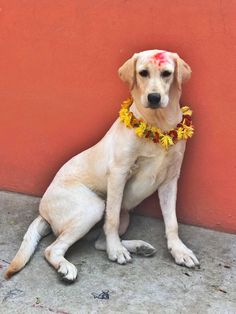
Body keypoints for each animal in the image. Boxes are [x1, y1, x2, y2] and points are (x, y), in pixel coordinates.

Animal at [5, 49, 199, 282]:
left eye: (167, 73)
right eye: (143, 73)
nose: (154, 97)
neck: (158, 124)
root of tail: (42, 211)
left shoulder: (170, 179)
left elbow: (172, 222)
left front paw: (179, 251)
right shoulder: (118, 173)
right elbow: (111, 220)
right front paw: (116, 251)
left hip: (123, 215)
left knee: (99, 241)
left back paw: (137, 247)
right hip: (93, 207)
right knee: (53, 248)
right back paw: (68, 266)